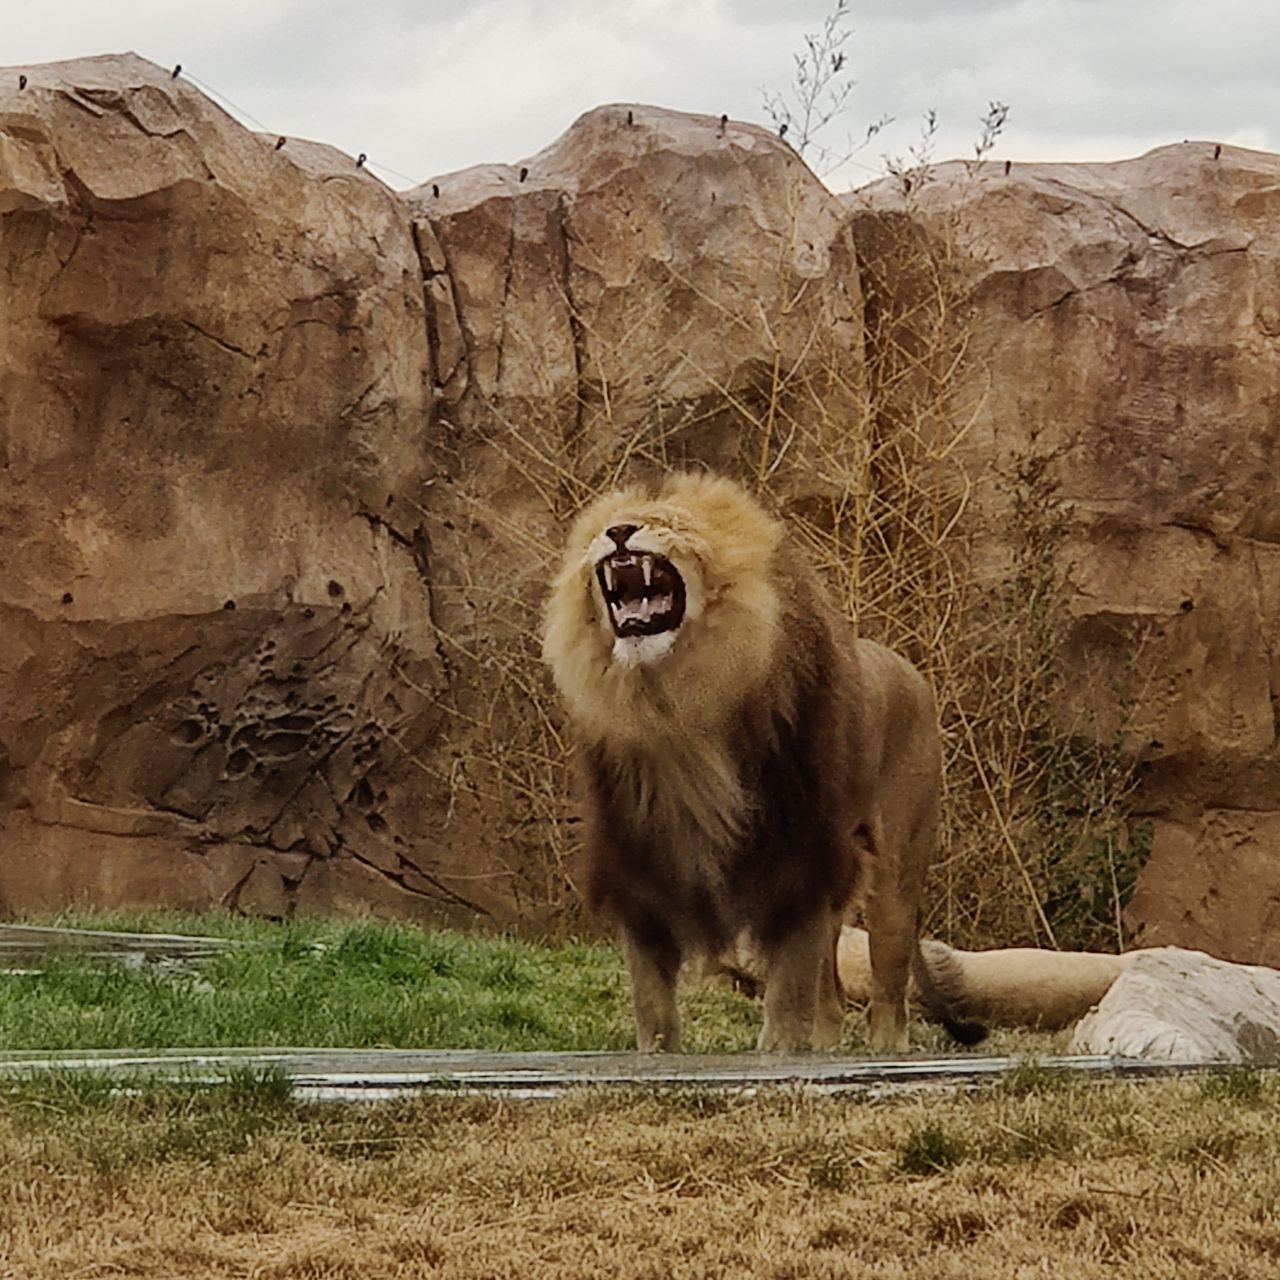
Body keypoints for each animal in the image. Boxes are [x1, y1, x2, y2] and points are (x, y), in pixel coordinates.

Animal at [542, 471, 977, 1049]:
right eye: (600, 530)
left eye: (668, 523)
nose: (618, 534)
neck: (674, 703)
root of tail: (910, 668)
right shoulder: (641, 858)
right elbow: (651, 996)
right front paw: (659, 1054)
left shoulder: (800, 854)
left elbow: (788, 987)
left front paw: (777, 1052)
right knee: (832, 994)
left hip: (894, 877)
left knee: (888, 988)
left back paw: (885, 1048)